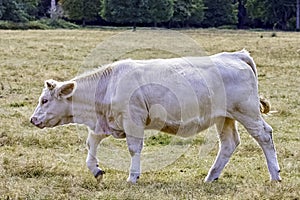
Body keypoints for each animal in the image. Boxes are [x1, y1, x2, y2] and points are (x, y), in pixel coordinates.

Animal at [30, 49, 282, 183]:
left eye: (44, 100)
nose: (33, 119)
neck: (109, 85)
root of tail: (235, 56)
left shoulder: (133, 121)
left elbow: (134, 149)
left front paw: (132, 177)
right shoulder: (105, 123)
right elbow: (91, 144)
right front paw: (96, 170)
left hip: (246, 112)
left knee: (265, 135)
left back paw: (275, 175)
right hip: (225, 117)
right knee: (229, 144)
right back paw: (211, 176)